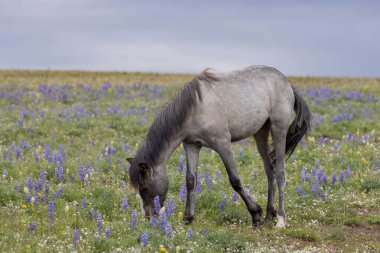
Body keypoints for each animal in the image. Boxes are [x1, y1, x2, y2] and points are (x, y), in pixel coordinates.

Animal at [127, 65, 312, 229]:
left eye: (144, 188)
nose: (148, 217)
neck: (194, 108)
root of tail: (286, 82)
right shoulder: (191, 145)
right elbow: (190, 180)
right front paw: (188, 218)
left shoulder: (222, 143)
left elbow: (235, 180)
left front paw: (255, 214)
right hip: (261, 132)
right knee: (269, 170)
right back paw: (268, 214)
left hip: (278, 129)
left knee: (280, 173)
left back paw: (280, 219)